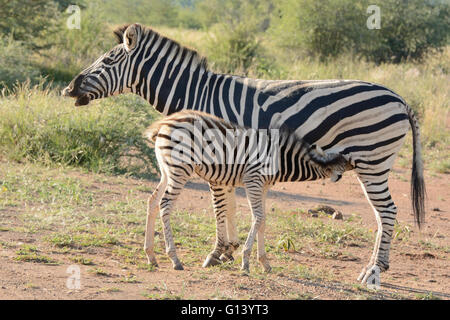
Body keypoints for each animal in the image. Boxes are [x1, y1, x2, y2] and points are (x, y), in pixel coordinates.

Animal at [144, 110, 352, 272]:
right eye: (347, 163)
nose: (357, 164)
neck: (281, 160)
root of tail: (164, 124)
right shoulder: (254, 180)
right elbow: (258, 218)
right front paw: (246, 261)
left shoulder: (264, 186)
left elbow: (263, 220)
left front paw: (265, 263)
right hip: (180, 170)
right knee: (165, 205)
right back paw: (174, 258)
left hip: (166, 170)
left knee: (153, 202)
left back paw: (151, 256)